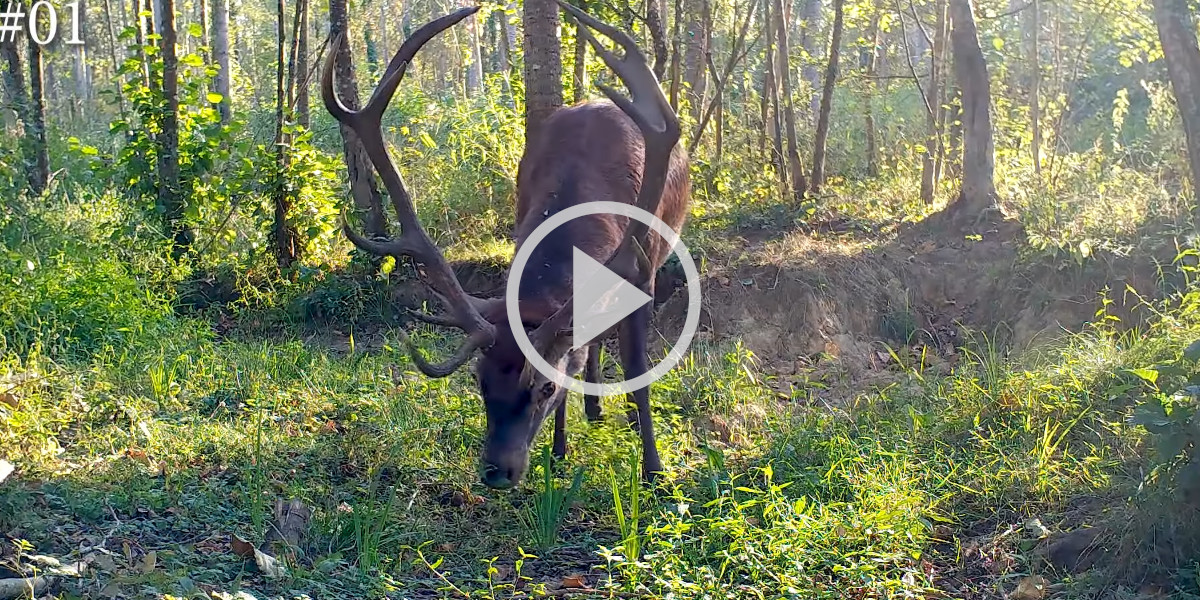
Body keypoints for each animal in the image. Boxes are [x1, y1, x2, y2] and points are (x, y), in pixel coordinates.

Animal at [324, 2, 691, 489]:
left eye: (545, 386)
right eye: (479, 382)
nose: (498, 471)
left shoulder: (642, 269)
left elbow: (638, 371)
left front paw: (654, 470)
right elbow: (579, 352)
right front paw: (559, 453)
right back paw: (591, 410)